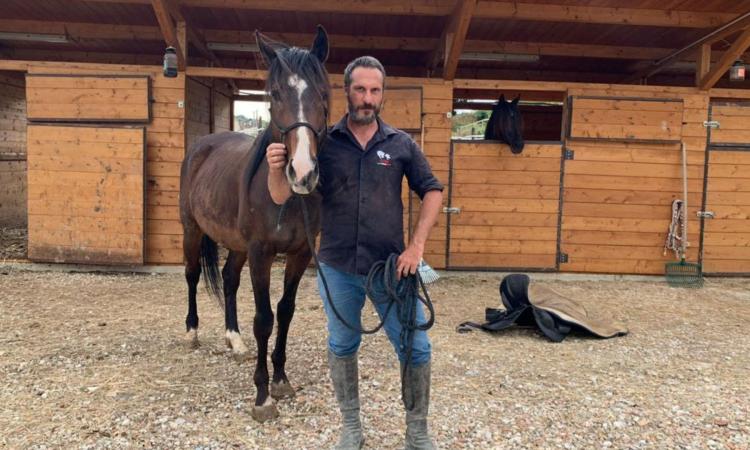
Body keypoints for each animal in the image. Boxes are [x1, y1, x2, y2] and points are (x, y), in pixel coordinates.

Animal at [179, 26, 330, 422]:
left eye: (323, 92)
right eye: (274, 95)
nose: (302, 172)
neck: (285, 196)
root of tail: (202, 146)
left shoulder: (299, 254)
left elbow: (285, 312)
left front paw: (280, 379)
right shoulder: (261, 253)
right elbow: (264, 319)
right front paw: (262, 395)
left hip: (236, 246)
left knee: (229, 279)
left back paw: (234, 339)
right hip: (191, 230)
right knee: (192, 275)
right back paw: (191, 332)